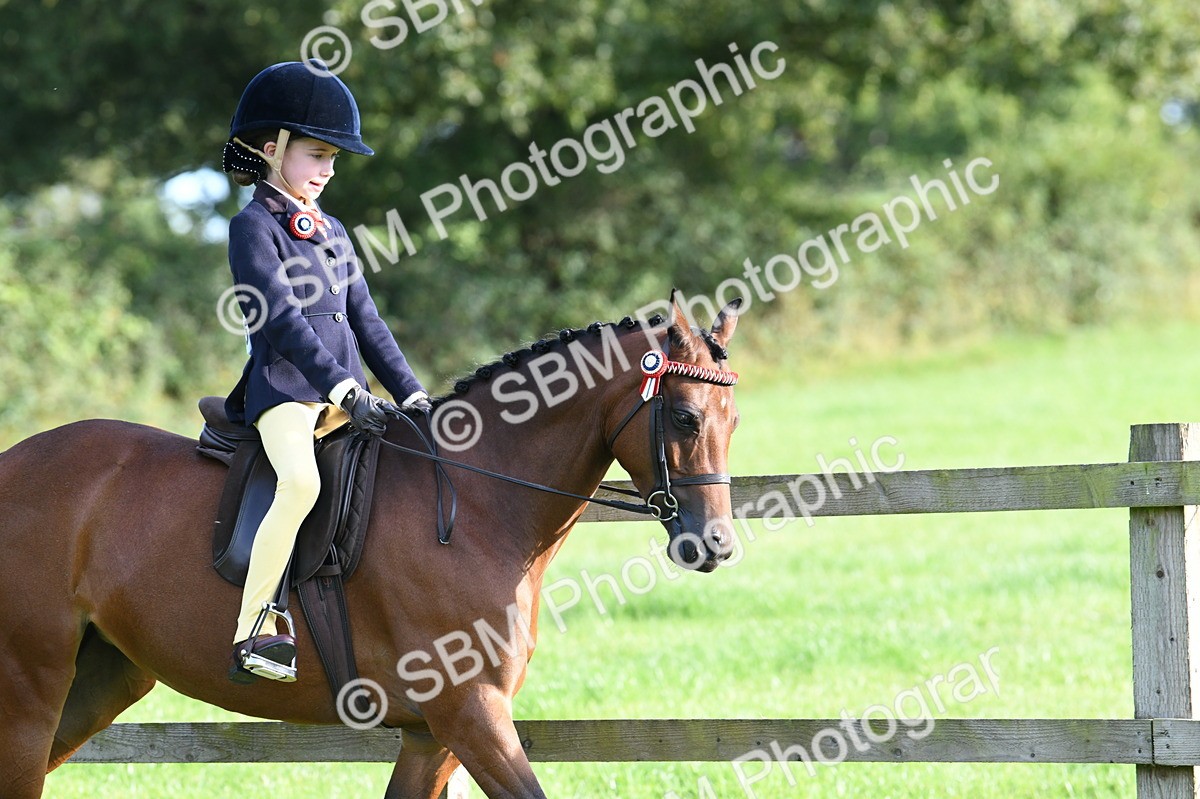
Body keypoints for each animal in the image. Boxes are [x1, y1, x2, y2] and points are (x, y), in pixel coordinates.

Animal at [0, 294, 742, 798]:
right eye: (684, 417)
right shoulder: (471, 714)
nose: (715, 545)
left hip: (99, 680)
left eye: (734, 420)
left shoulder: (431, 734)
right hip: (28, 694)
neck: (478, 503)